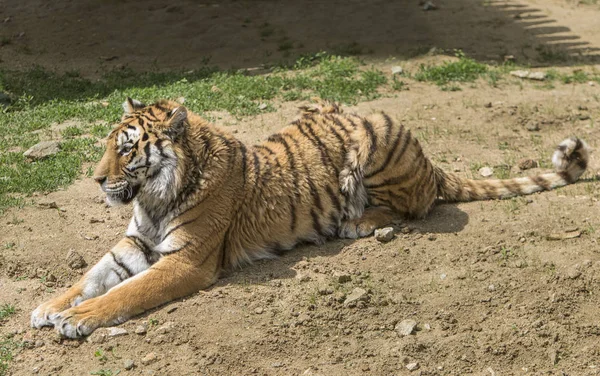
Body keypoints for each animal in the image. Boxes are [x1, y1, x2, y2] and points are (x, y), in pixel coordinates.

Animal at [30, 97, 588, 338]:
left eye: (126, 150)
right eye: (109, 143)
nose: (95, 180)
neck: (154, 196)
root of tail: (431, 162)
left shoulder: (186, 261)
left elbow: (124, 294)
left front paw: (76, 319)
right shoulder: (135, 245)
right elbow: (90, 277)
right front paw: (47, 308)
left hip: (376, 139)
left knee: (415, 205)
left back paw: (357, 221)